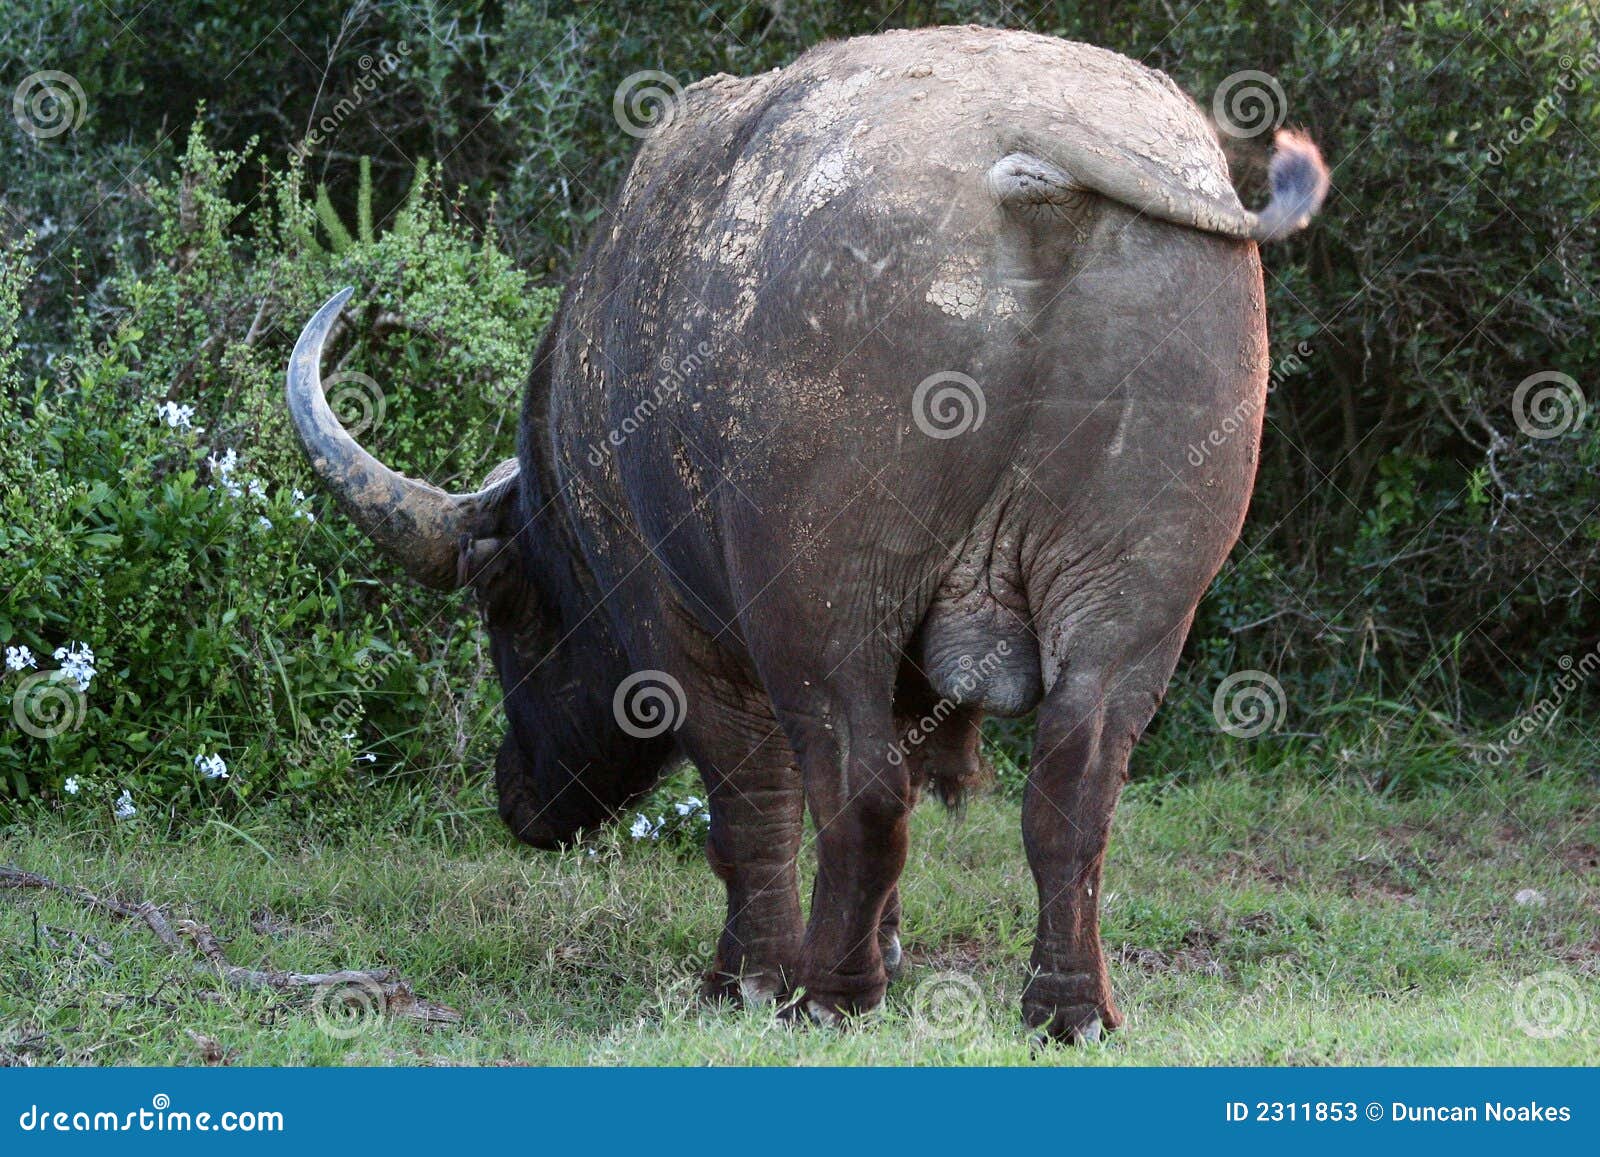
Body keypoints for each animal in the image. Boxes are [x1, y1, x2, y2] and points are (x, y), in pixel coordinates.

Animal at [288, 24, 1324, 1043]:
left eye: (505, 612)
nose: (521, 800)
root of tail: (1029, 154)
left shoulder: (678, 635)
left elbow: (749, 808)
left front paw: (743, 976)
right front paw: (890, 947)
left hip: (820, 601)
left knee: (857, 788)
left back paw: (825, 992)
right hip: (1136, 604)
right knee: (1074, 787)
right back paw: (1067, 1010)